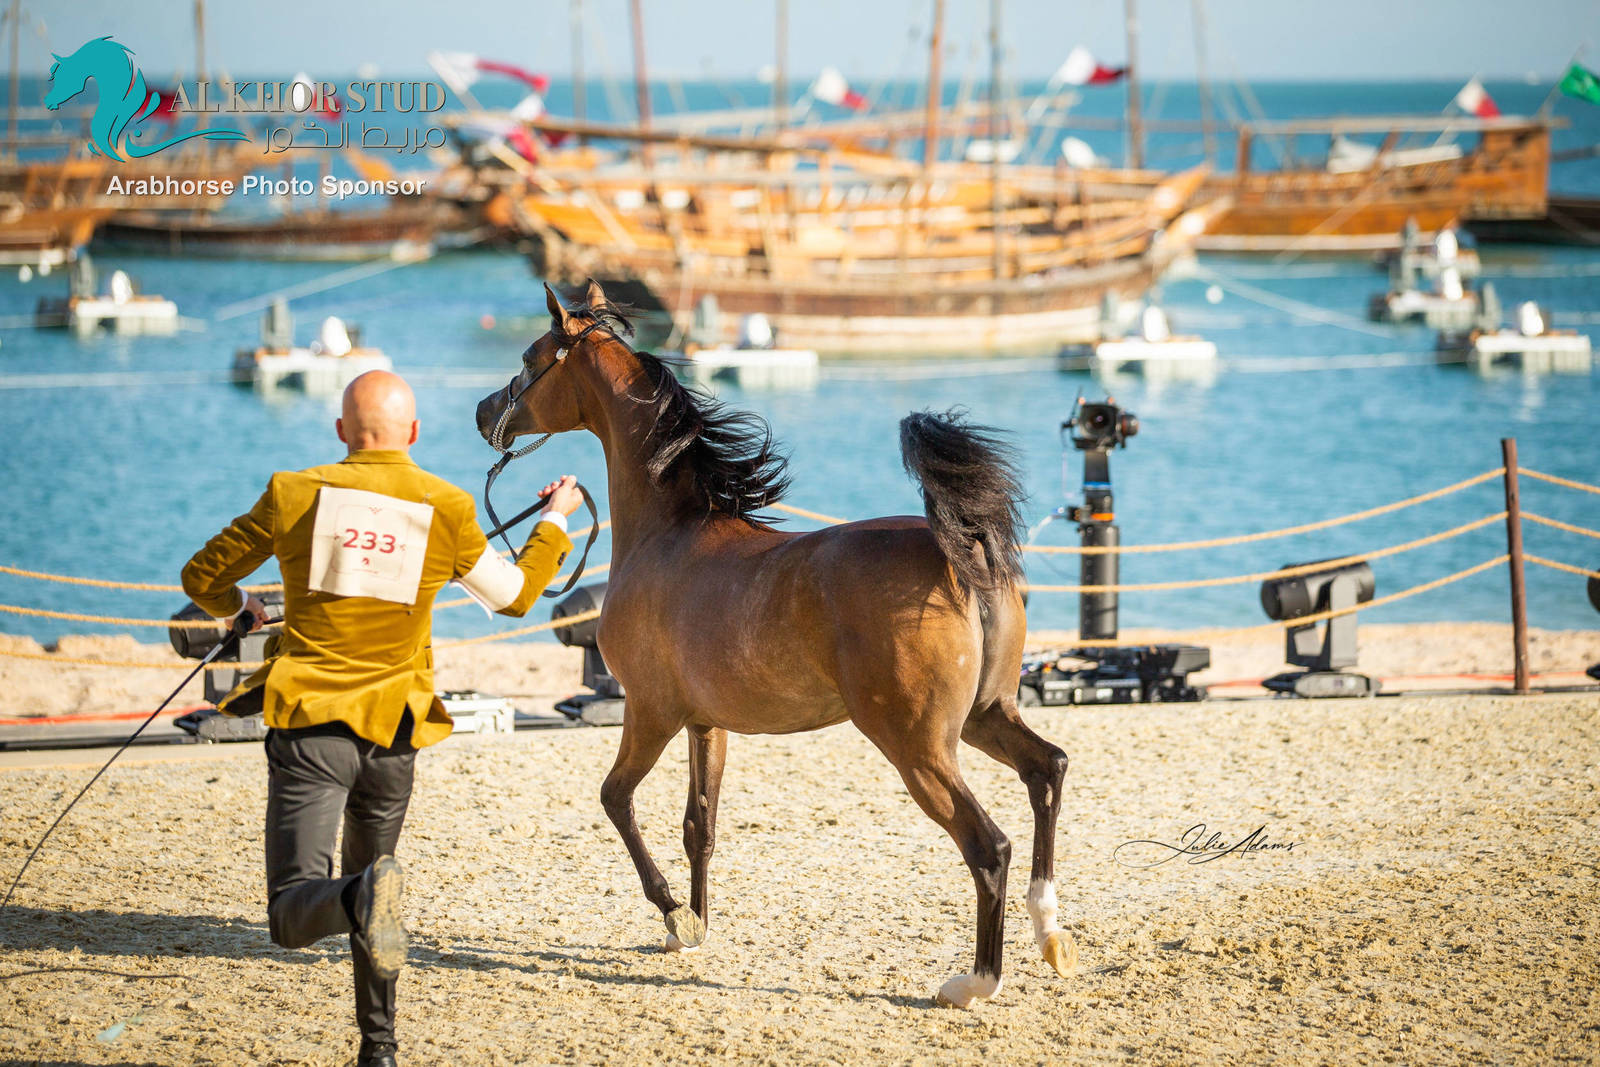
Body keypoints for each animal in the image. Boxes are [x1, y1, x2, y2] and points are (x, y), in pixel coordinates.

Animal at [476, 281, 1076, 1008]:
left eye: (531, 359)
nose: (482, 412)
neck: (668, 535)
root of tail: (959, 553)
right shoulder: (706, 723)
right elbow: (699, 826)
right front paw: (694, 926)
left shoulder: (649, 711)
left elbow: (615, 798)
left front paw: (674, 913)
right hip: (986, 715)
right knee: (1047, 771)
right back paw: (1051, 932)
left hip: (920, 747)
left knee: (989, 846)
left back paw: (974, 982)